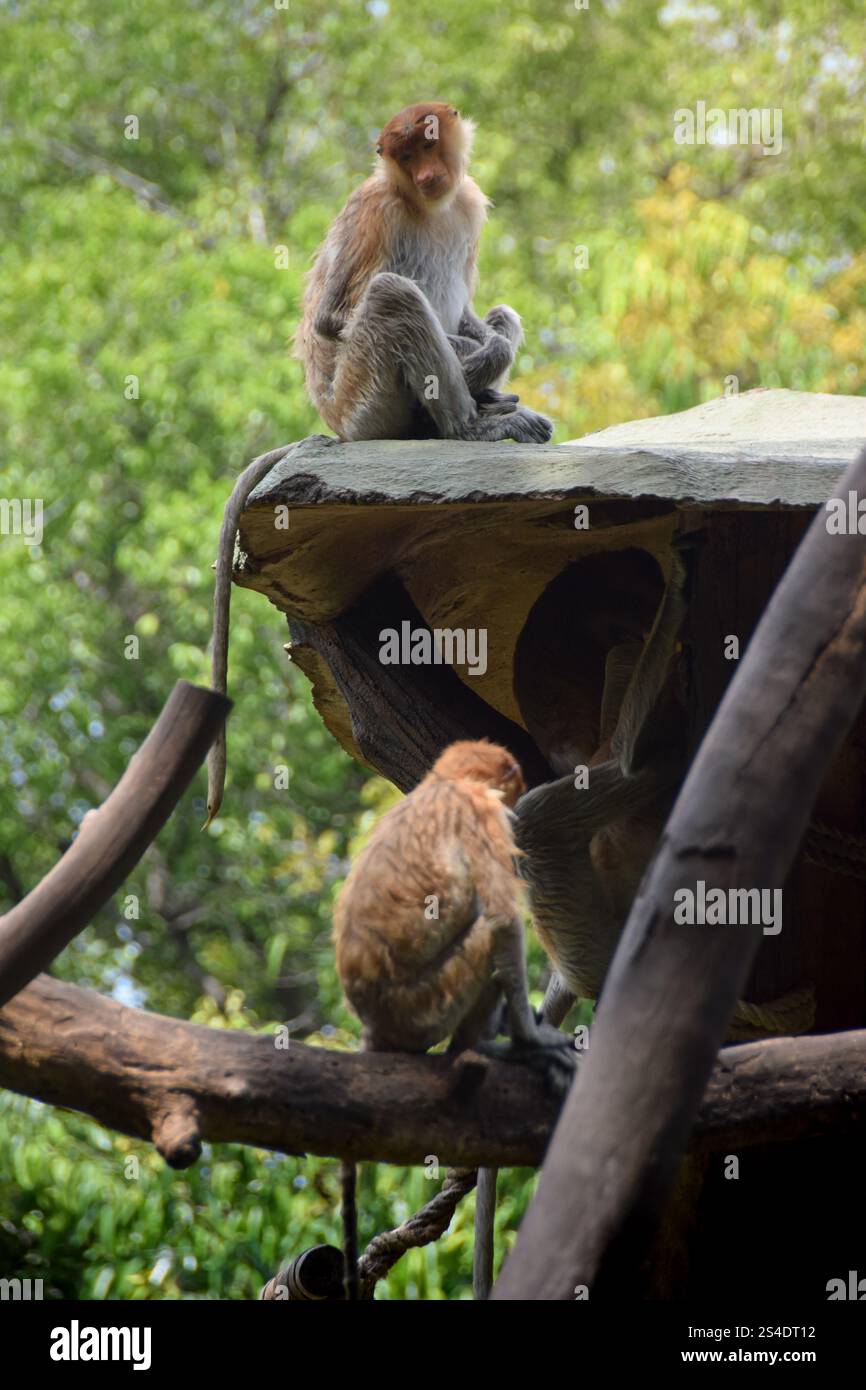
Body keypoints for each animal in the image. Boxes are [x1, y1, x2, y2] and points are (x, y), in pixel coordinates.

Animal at [296, 102, 553, 446]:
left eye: (427, 146)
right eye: (406, 157)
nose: (426, 175)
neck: (426, 204)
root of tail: (333, 420)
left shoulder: (469, 199)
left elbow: (469, 312)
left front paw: (494, 351)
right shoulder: (376, 209)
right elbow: (328, 317)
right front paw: (478, 356)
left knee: (504, 313)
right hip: (359, 403)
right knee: (393, 293)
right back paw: (470, 428)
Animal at [332, 739, 574, 1298]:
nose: (519, 794)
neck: (445, 784)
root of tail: (374, 1022)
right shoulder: (483, 816)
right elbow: (503, 918)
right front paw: (531, 1040)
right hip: (430, 1003)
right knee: (486, 927)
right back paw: (485, 1047)